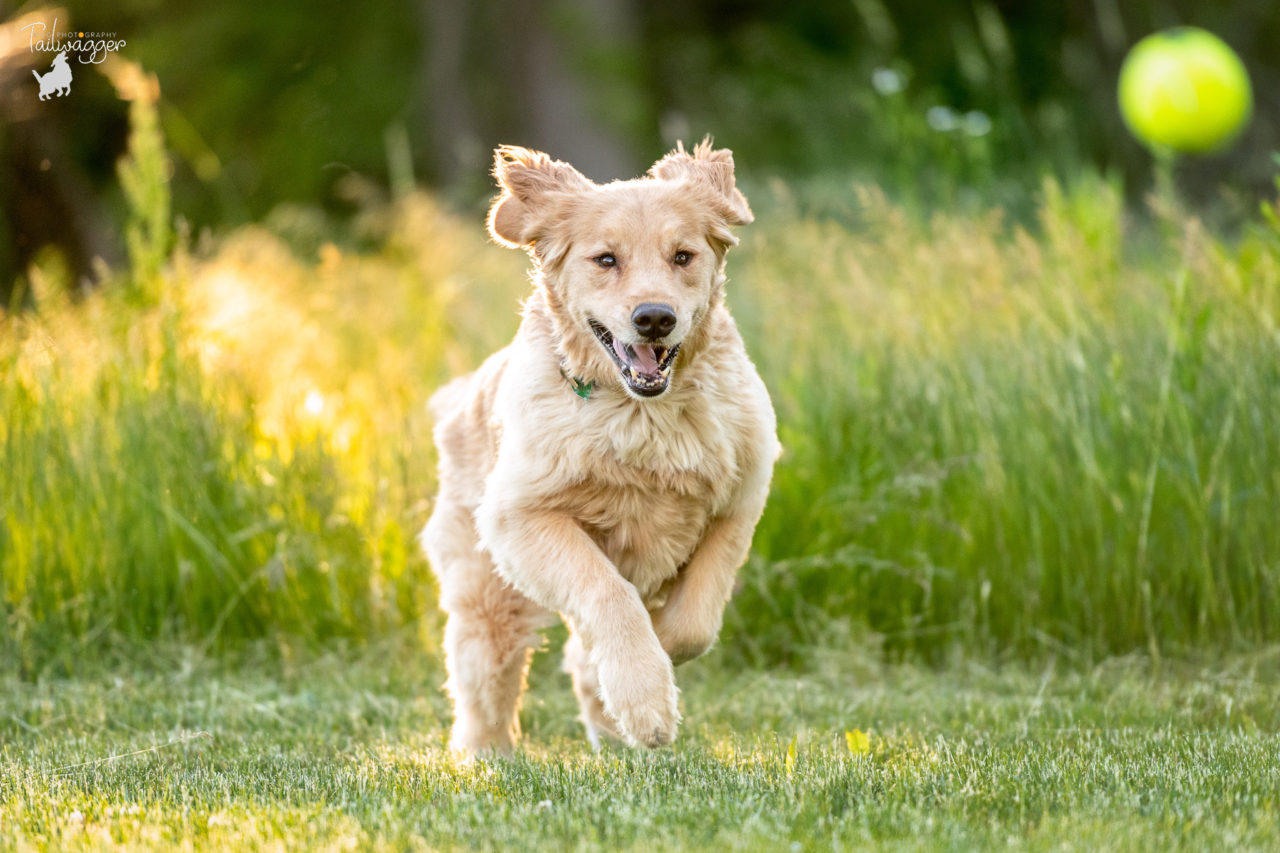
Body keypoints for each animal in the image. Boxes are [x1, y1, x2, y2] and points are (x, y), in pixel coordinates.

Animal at [422, 137, 778, 753]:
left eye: (683, 256)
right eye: (606, 260)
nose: (655, 318)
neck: (644, 413)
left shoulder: (740, 500)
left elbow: (694, 623)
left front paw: (649, 673)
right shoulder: (520, 517)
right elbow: (609, 594)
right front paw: (645, 696)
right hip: (486, 594)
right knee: (482, 681)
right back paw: (484, 754)